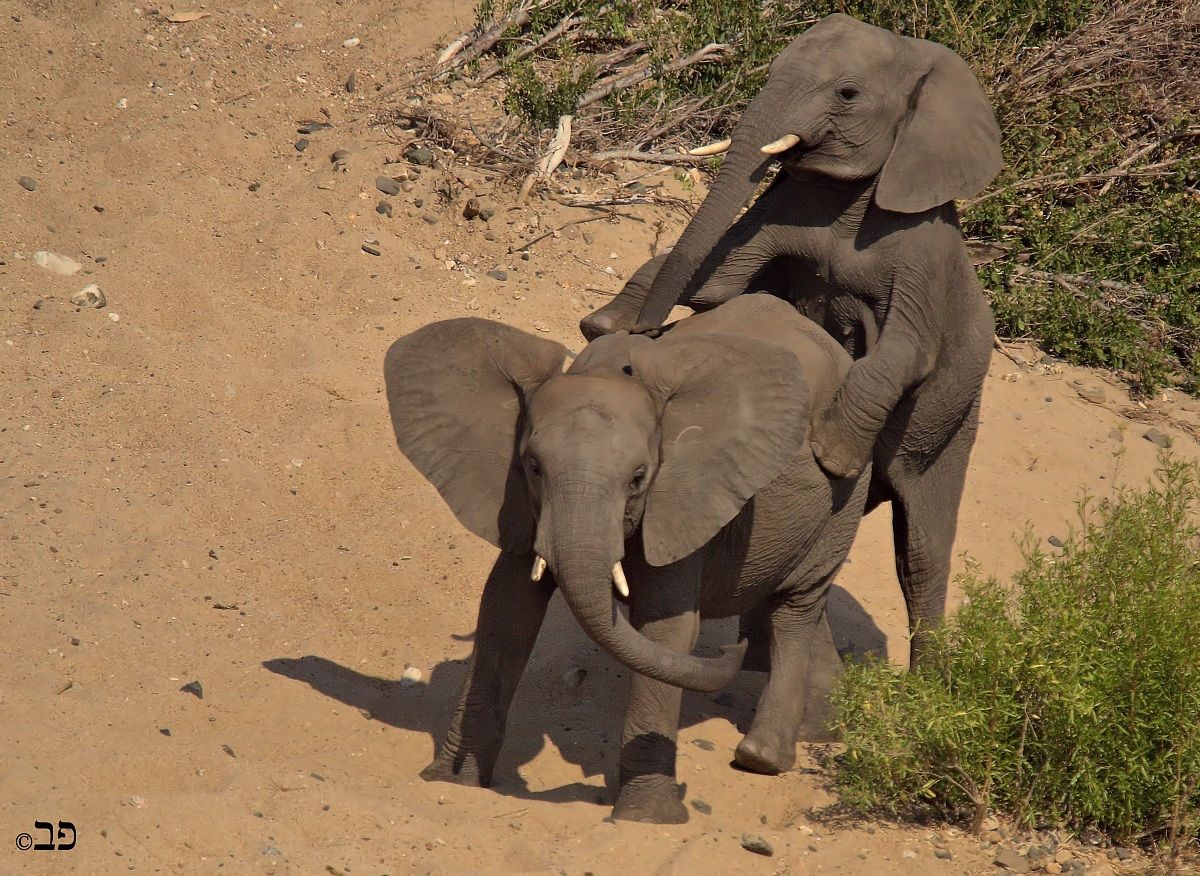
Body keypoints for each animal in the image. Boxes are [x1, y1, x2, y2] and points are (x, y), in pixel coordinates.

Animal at [383, 294, 870, 823]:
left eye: (638, 478)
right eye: (532, 466)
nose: (729, 650)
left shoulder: (682, 494)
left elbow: (666, 627)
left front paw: (645, 818)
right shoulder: (522, 505)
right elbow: (506, 610)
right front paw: (454, 781)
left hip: (848, 487)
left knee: (797, 606)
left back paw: (760, 758)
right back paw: (818, 731)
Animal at [579, 13, 1002, 665]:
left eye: (847, 94)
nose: (644, 331)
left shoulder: (923, 250)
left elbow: (904, 353)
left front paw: (833, 452)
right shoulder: (786, 203)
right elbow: (717, 279)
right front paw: (605, 324)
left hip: (956, 418)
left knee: (922, 551)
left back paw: (925, 682)